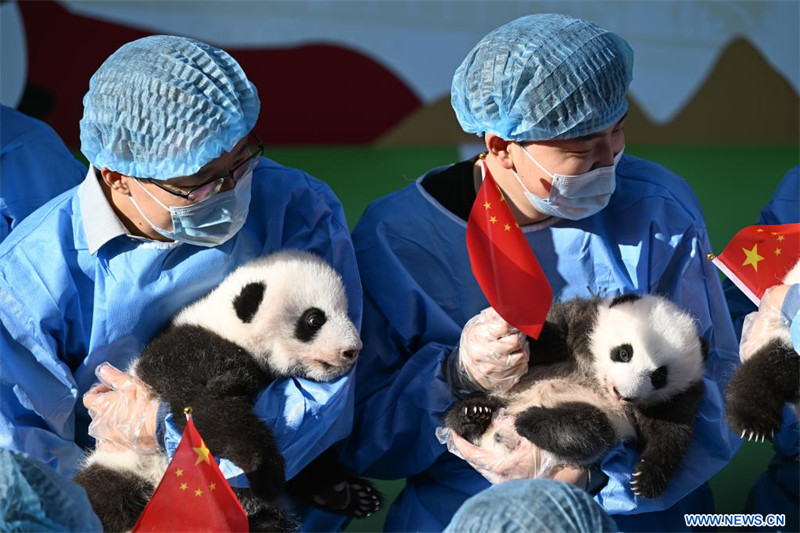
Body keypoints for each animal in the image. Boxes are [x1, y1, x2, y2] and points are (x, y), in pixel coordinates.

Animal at [74, 251, 378, 532]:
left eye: (346, 311)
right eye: (315, 319)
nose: (353, 350)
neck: (231, 330)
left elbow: (307, 447)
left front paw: (346, 493)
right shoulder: (191, 355)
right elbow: (206, 407)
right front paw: (263, 469)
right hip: (125, 467)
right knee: (106, 495)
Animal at [445, 293, 707, 499]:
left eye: (659, 376)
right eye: (625, 352)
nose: (623, 394)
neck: (597, 374)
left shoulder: (676, 398)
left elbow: (670, 433)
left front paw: (644, 479)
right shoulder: (583, 322)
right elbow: (549, 335)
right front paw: (504, 336)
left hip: (599, 418)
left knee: (590, 429)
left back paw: (530, 421)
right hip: (506, 395)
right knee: (462, 413)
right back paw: (473, 414)